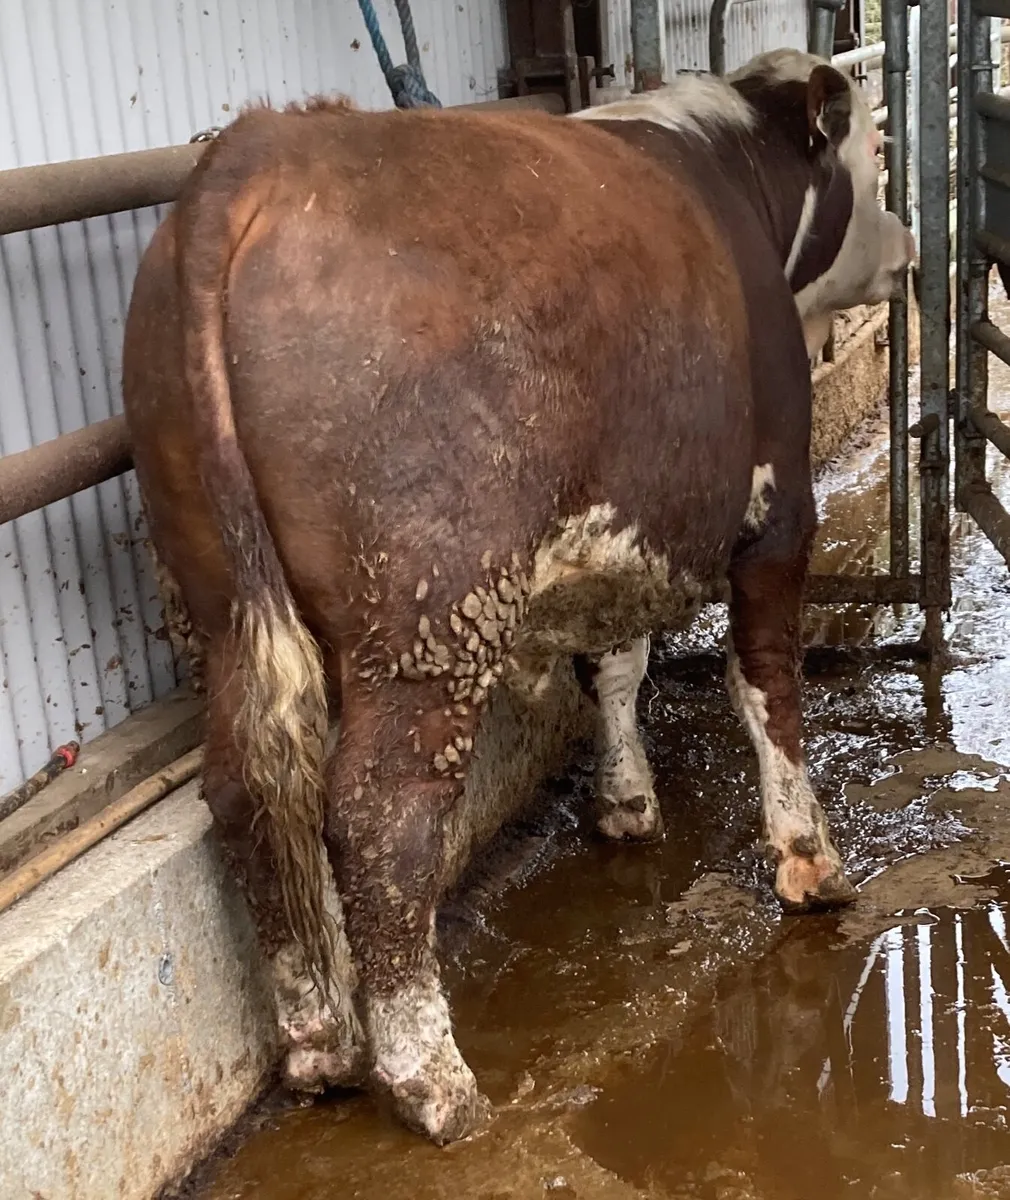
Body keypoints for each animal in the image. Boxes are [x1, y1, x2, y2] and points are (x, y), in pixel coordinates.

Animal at [122, 48, 915, 1146]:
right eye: (874, 148)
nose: (911, 248)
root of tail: (259, 155)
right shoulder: (775, 509)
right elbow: (766, 688)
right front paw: (809, 859)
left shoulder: (621, 523)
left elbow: (615, 663)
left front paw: (624, 802)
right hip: (427, 608)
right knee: (380, 814)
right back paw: (431, 1078)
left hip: (220, 597)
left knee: (249, 791)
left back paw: (320, 1043)